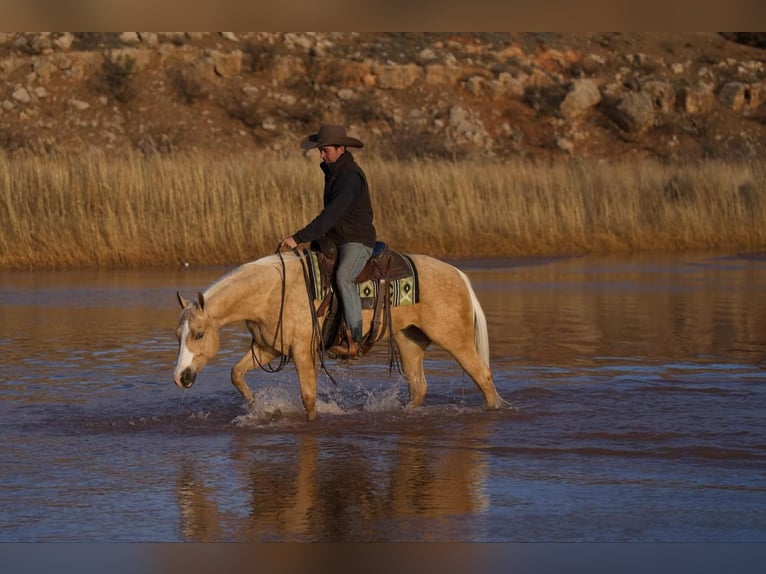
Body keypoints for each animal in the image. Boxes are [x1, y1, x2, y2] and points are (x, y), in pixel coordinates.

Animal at [176, 250, 510, 420]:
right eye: (178, 334)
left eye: (199, 333)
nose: (181, 377)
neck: (271, 290)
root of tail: (459, 275)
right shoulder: (268, 348)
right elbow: (236, 373)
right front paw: (258, 406)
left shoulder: (301, 352)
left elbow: (309, 397)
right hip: (409, 341)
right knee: (419, 387)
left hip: (455, 340)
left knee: (483, 377)